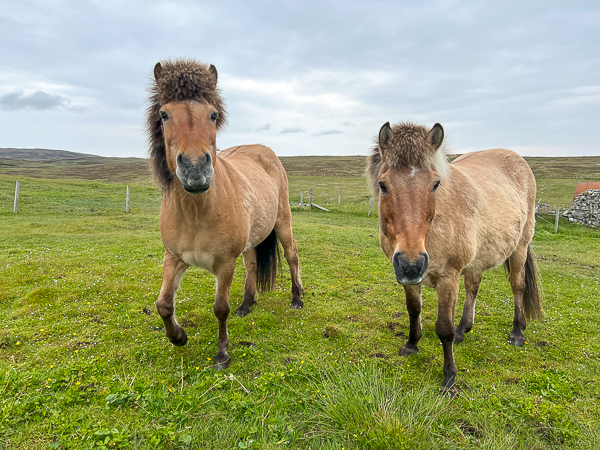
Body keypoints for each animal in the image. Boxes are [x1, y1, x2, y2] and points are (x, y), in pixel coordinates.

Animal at [146, 59, 304, 370]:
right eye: (164, 114)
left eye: (213, 114)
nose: (195, 168)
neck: (197, 211)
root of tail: (264, 151)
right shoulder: (173, 258)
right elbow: (163, 304)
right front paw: (178, 336)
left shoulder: (225, 263)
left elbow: (220, 308)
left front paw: (222, 353)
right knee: (253, 264)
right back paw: (246, 304)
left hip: (283, 222)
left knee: (291, 255)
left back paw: (296, 298)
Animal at [368, 122, 540, 390]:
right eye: (383, 184)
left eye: (435, 184)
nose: (412, 264)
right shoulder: (407, 277)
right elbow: (413, 309)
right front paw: (412, 344)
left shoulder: (448, 278)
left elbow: (443, 328)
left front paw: (449, 378)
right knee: (473, 286)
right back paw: (464, 329)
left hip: (520, 247)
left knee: (517, 286)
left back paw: (517, 332)